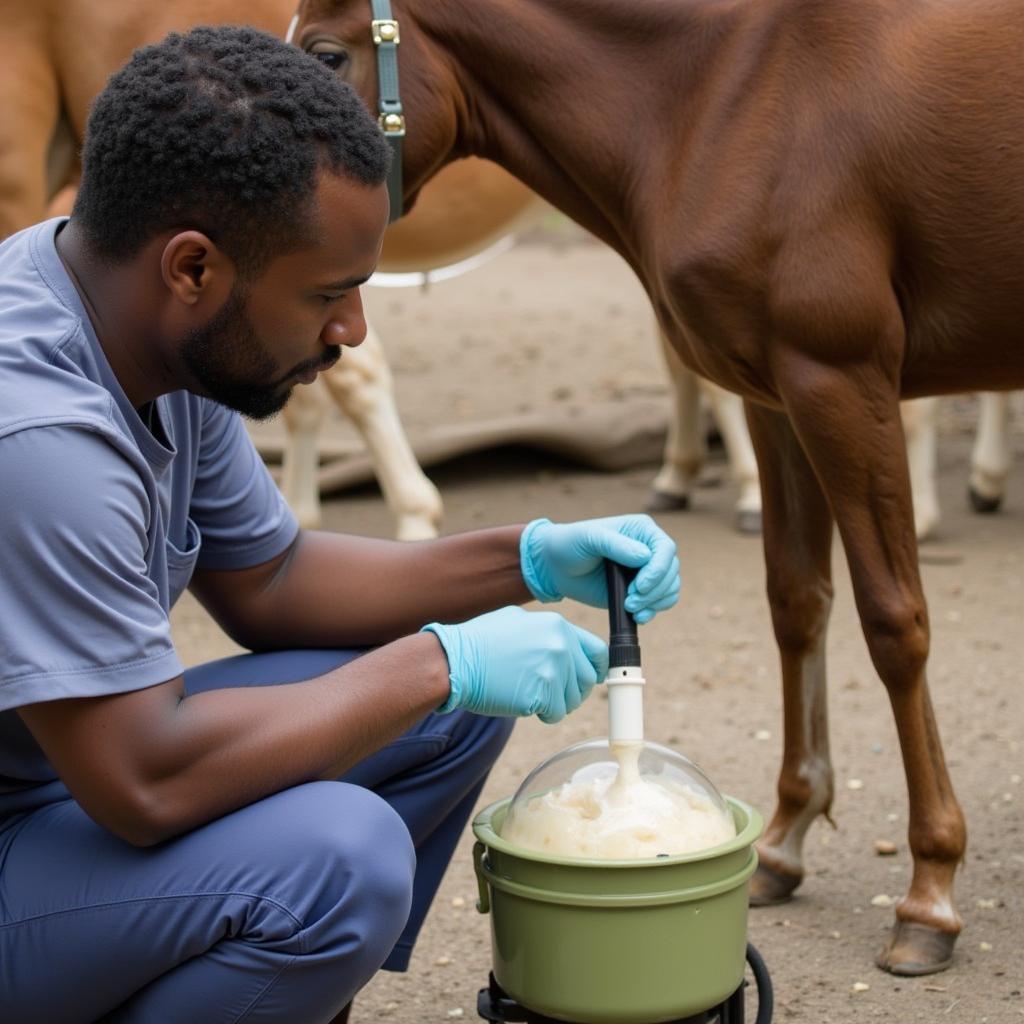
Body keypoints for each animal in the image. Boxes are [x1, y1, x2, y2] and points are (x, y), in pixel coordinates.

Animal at [290, 0, 1024, 974]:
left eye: (327, 53)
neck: (730, 89)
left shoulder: (841, 381)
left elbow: (893, 622)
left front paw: (930, 890)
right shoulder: (779, 398)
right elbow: (798, 603)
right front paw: (785, 839)